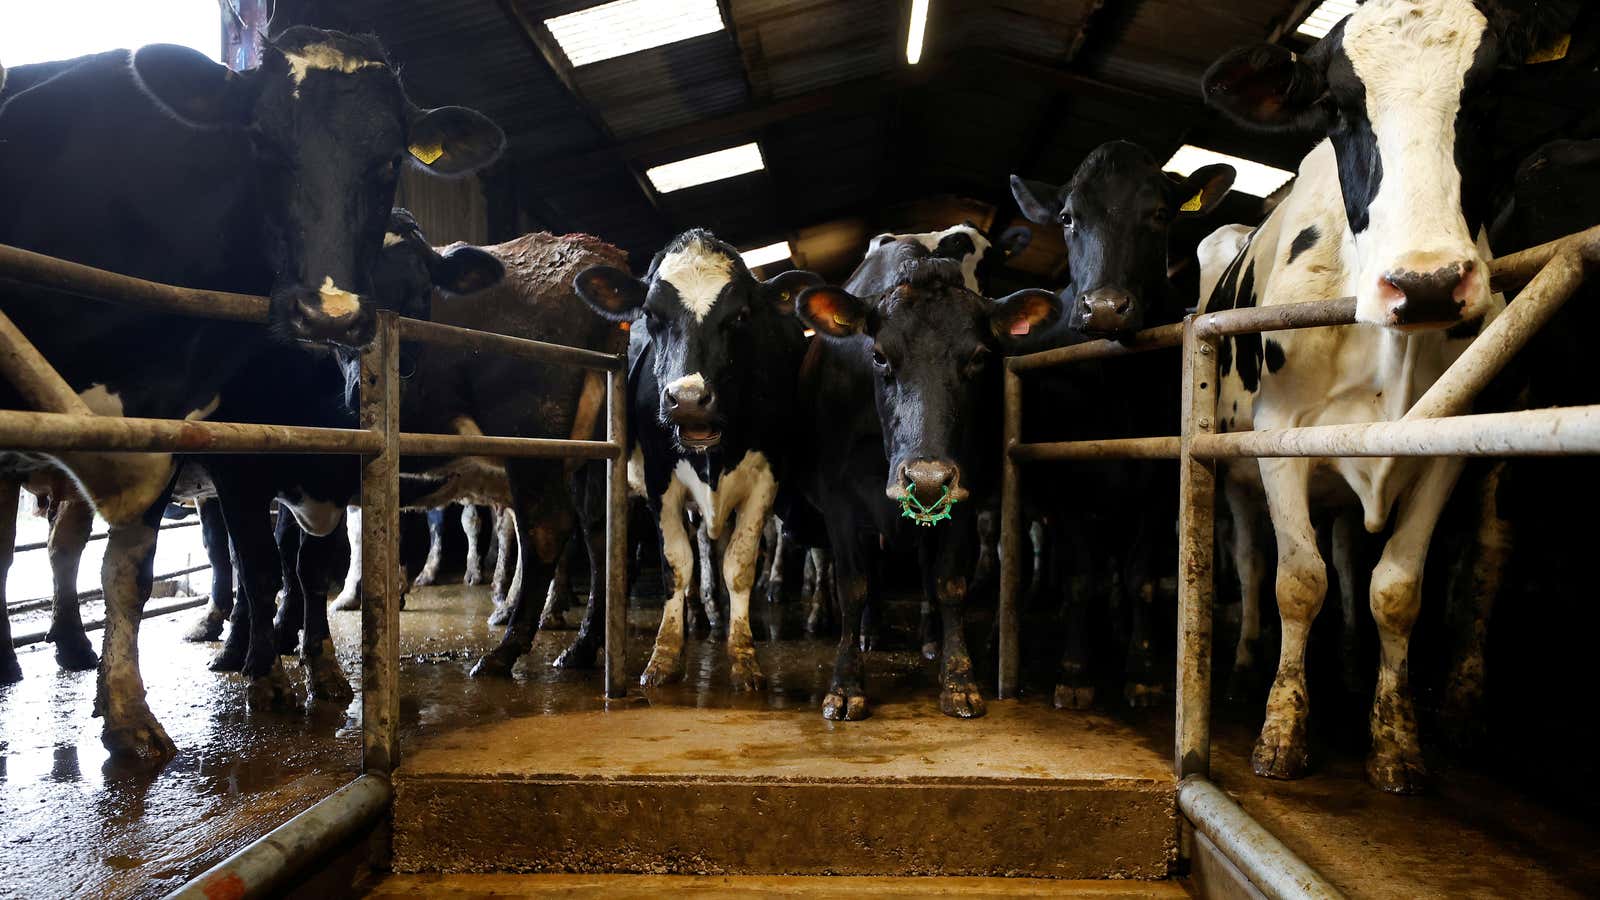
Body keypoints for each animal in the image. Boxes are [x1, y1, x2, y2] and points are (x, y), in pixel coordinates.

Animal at [0, 29, 502, 755]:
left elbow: (283, 567)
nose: (330, 317)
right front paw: (265, 677)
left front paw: (317, 667)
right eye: (261, 143)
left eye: (389, 161)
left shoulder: (181, 430)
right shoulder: (237, 467)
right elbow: (259, 568)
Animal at [576, 229, 825, 685]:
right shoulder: (659, 480)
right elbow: (677, 563)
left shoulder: (766, 480)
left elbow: (739, 566)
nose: (689, 400)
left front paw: (743, 655)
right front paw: (664, 655)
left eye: (742, 314)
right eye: (651, 314)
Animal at [790, 238, 1062, 714]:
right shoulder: (839, 503)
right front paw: (845, 683)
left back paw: (931, 638)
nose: (927, 477)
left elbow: (947, 582)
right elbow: (854, 585)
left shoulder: (962, 496)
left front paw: (958, 679)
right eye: (878, 355)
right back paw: (871, 632)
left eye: (978, 358)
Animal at [1203, 0, 1574, 787]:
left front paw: (1396, 741)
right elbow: (1297, 580)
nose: (1427, 283)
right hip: (1232, 471)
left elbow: (1395, 588)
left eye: (1487, 94)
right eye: (1338, 106)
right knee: (1250, 561)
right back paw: (1245, 669)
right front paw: (1282, 733)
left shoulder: (1447, 449)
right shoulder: (1279, 433)